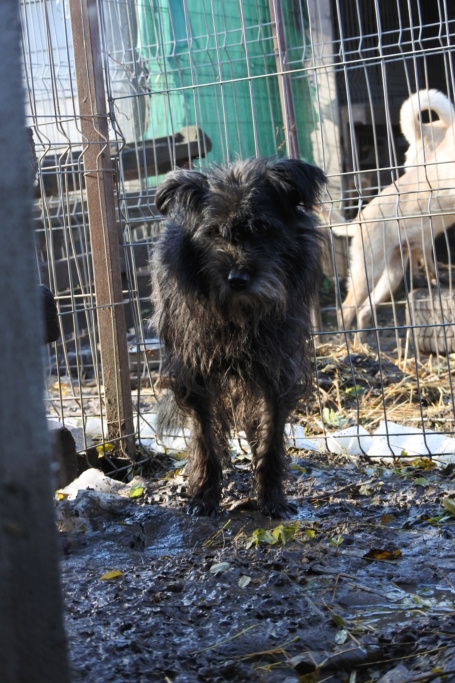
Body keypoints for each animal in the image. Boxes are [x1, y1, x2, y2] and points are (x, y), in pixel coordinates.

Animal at [153, 156, 328, 520]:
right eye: (213, 232)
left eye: (261, 227)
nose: (236, 279)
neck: (241, 314)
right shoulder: (195, 373)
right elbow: (205, 436)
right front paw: (205, 496)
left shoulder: (277, 371)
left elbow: (270, 434)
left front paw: (271, 497)